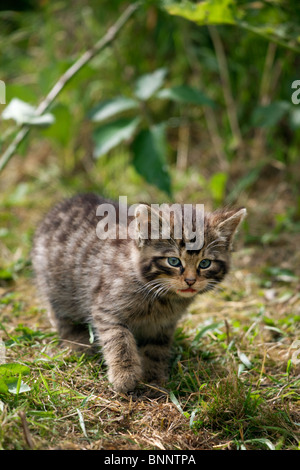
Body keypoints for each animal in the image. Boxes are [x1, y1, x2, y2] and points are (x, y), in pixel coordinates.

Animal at [31, 195, 246, 392]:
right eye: (174, 261)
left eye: (205, 263)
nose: (191, 281)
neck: (161, 296)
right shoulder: (106, 309)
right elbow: (119, 340)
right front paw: (124, 375)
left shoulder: (163, 325)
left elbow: (156, 348)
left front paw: (153, 376)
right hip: (56, 286)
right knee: (60, 315)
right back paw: (77, 341)